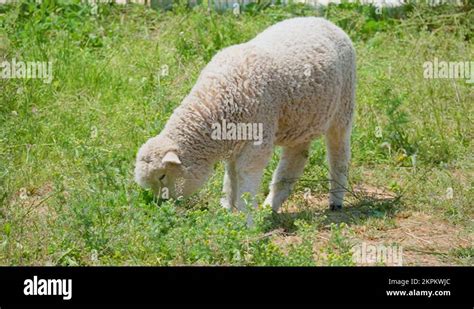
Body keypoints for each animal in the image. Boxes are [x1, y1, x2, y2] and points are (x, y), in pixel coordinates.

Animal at [133, 16, 356, 214]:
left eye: (162, 176)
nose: (162, 205)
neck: (217, 100)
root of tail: (324, 21)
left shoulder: (257, 136)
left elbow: (246, 173)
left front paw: (246, 218)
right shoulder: (234, 140)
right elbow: (231, 175)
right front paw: (227, 209)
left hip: (342, 109)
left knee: (339, 153)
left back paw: (336, 199)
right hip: (302, 119)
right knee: (295, 159)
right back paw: (271, 205)